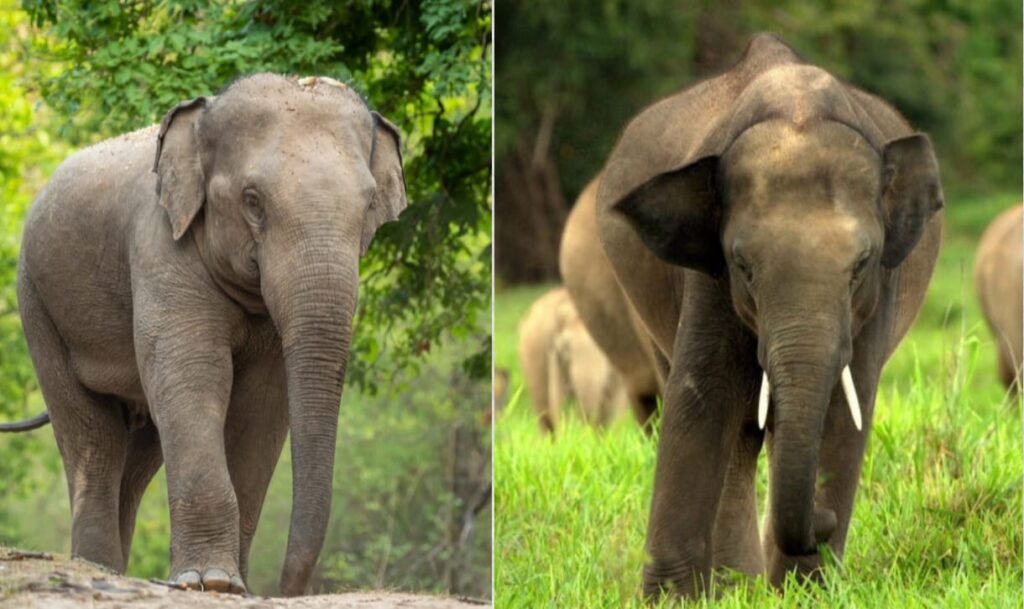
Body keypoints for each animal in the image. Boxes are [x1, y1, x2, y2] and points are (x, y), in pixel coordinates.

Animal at [10, 74, 407, 595]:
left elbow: (262, 406)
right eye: (253, 202)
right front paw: (210, 582)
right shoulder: (159, 248)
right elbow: (194, 376)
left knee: (140, 454)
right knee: (92, 436)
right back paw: (99, 568)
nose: (284, 590)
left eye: (368, 205)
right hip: (38, 305)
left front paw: (233, 586)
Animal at [589, 34, 943, 599]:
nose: (821, 522)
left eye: (861, 264)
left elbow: (844, 414)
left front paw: (804, 594)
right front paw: (672, 599)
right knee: (732, 431)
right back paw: (735, 586)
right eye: (744, 266)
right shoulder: (709, 280)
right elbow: (700, 400)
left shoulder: (877, 297)